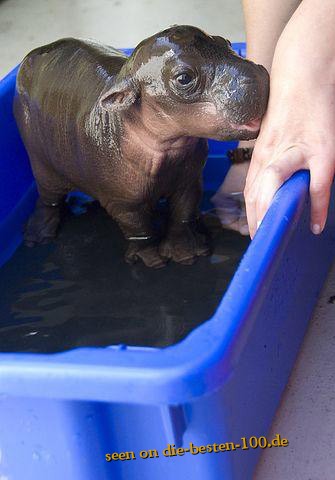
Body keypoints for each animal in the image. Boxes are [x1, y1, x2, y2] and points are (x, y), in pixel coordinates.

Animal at [14, 25, 270, 266]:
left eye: (225, 42)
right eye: (184, 78)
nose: (259, 74)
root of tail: (31, 54)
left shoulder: (189, 181)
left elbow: (182, 214)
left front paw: (186, 251)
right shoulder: (122, 202)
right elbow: (139, 230)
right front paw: (151, 259)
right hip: (42, 164)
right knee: (47, 199)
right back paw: (37, 235)